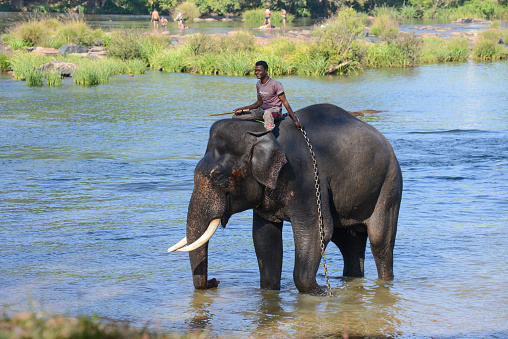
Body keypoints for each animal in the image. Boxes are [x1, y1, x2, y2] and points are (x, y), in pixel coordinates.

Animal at [169, 103, 402, 294]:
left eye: (218, 176)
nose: (214, 281)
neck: (262, 134)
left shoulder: (306, 178)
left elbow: (317, 231)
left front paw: (321, 292)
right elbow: (264, 237)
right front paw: (272, 291)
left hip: (390, 184)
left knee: (379, 242)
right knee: (349, 242)